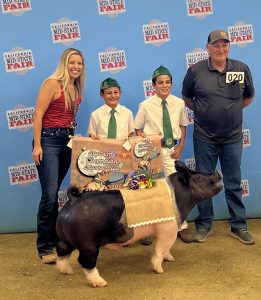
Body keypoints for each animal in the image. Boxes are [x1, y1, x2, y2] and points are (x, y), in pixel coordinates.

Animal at [55, 161, 221, 288]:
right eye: (198, 177)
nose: (217, 171)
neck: (178, 197)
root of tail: (73, 201)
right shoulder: (168, 229)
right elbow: (161, 249)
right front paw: (159, 269)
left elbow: (165, 248)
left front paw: (170, 259)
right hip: (88, 243)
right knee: (85, 261)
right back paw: (101, 282)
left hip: (65, 238)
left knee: (61, 251)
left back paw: (67, 272)